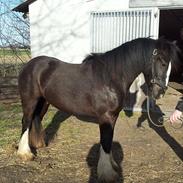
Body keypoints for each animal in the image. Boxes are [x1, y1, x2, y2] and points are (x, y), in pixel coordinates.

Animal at [17, 38, 182, 182]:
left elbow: (108, 141)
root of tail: (30, 65)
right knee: (26, 121)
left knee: (35, 119)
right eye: (162, 63)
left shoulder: (112, 117)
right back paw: (25, 153)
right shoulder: (106, 117)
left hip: (44, 102)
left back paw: (37, 144)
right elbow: (106, 142)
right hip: (30, 101)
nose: (160, 93)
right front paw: (108, 174)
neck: (110, 77)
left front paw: (113, 166)